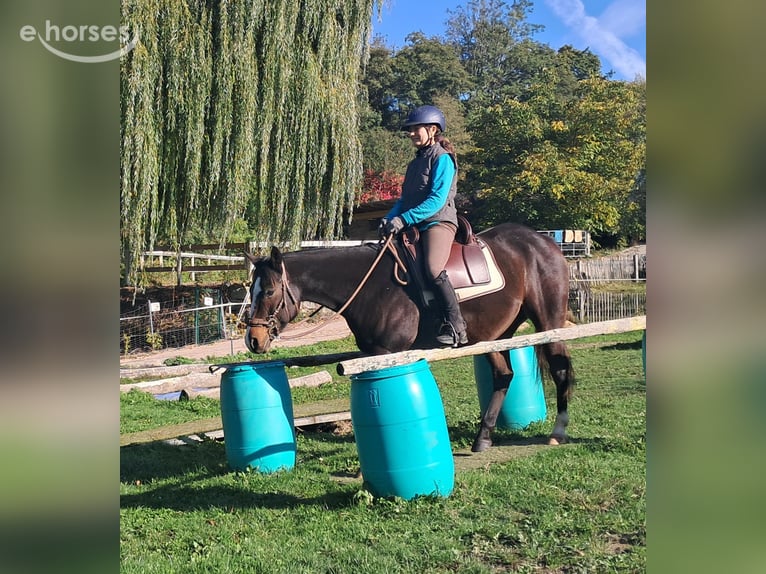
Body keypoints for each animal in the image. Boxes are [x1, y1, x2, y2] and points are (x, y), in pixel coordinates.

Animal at [244, 222, 575, 452]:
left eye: (269, 291)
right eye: (251, 289)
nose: (253, 339)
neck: (370, 284)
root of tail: (543, 241)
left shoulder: (388, 353)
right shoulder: (371, 355)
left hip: (547, 321)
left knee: (559, 369)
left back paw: (557, 433)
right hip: (495, 335)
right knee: (504, 376)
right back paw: (483, 438)